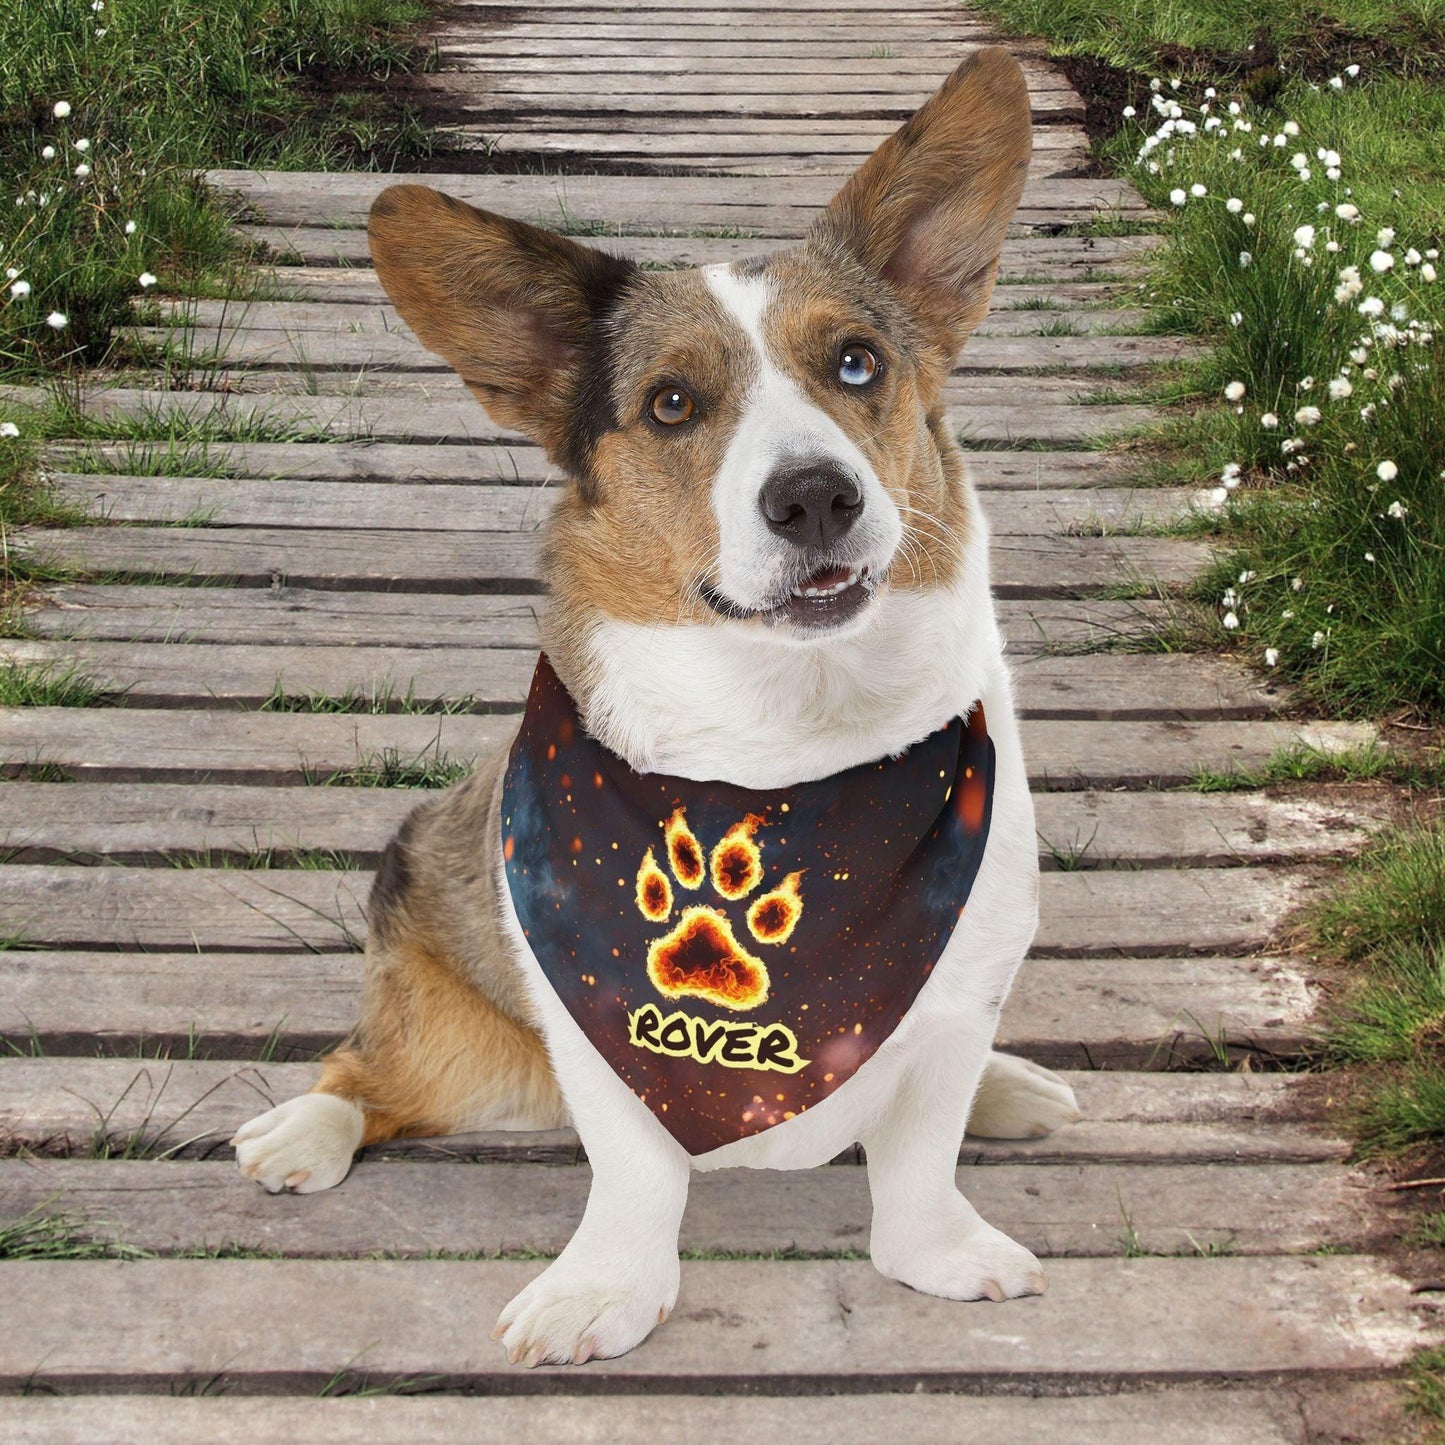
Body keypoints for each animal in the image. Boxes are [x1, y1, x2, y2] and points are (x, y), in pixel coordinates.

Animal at [231, 48, 1080, 1364]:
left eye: (856, 363)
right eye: (672, 404)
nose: (815, 498)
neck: (787, 748)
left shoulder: (960, 987)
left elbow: (921, 1152)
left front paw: (939, 1248)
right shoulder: (595, 1027)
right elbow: (632, 1171)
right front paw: (601, 1291)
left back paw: (1011, 1087)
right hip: (453, 1037)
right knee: (368, 1071)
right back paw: (304, 1129)